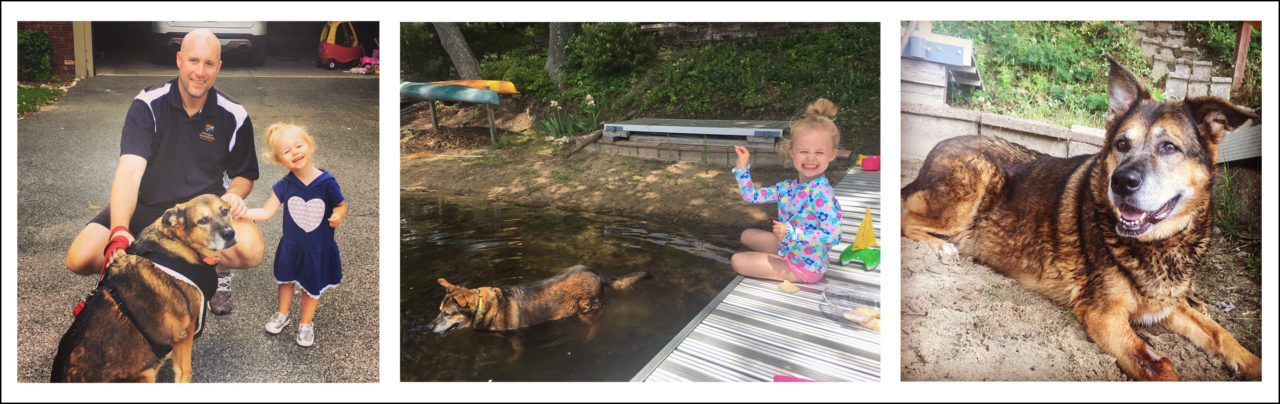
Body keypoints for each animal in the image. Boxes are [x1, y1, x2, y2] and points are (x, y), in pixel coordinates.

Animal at [51, 194, 238, 383]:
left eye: (225, 211)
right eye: (203, 220)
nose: (229, 234)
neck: (182, 244)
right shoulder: (184, 334)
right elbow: (185, 372)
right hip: (145, 376)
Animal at [430, 267, 650, 355]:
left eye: (447, 314)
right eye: (439, 310)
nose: (428, 326)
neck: (485, 306)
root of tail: (596, 272)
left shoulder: (516, 339)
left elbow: (515, 354)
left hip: (587, 312)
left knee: (595, 327)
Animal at [901, 56, 1259, 380]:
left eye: (1169, 147)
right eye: (1122, 144)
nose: (1120, 181)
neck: (1159, 244)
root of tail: (936, 151)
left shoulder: (1165, 305)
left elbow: (1219, 333)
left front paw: (1252, 364)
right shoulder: (1105, 316)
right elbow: (1164, 368)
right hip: (972, 188)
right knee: (905, 216)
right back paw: (941, 247)